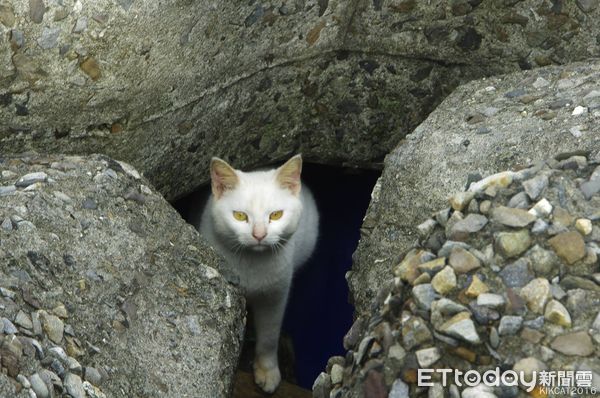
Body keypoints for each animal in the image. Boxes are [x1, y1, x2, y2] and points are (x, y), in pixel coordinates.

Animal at [197, 154, 318, 394]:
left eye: (276, 215)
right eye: (240, 216)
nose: (259, 234)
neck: (252, 262)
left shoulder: (275, 295)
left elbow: (270, 336)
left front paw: (267, 371)